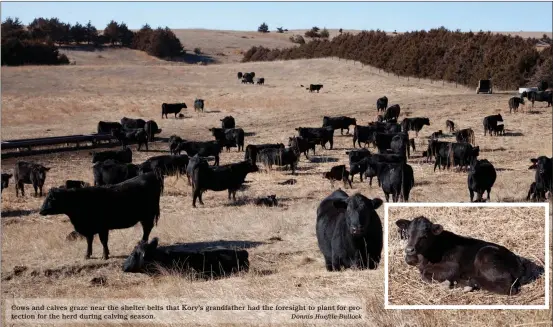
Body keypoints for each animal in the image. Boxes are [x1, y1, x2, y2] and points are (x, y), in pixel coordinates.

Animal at [394, 217, 540, 296]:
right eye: (407, 233)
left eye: (424, 236)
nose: (409, 249)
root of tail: (519, 263)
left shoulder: (453, 266)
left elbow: (424, 274)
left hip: (486, 254)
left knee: (508, 287)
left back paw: (469, 282)